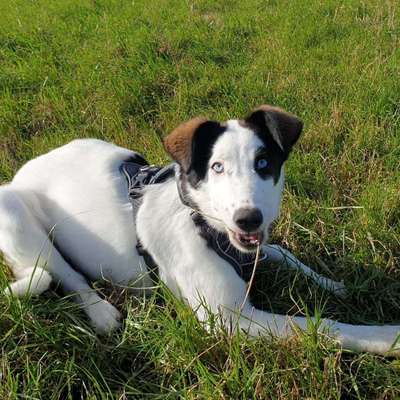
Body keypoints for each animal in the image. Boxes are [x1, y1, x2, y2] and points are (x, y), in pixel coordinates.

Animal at [0, 104, 398, 354]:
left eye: (263, 163)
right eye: (217, 167)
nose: (248, 219)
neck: (202, 220)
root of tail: (21, 174)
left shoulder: (256, 248)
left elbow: (284, 253)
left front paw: (332, 283)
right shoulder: (230, 320)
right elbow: (326, 327)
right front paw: (386, 337)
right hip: (14, 215)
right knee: (70, 277)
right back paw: (101, 312)